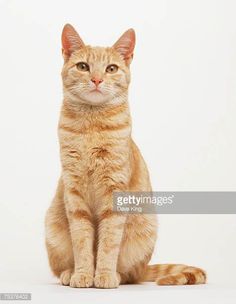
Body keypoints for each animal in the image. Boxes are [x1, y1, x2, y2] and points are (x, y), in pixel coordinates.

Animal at [44, 23, 206, 288]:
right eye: (83, 66)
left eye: (111, 69)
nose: (97, 79)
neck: (92, 126)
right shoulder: (74, 194)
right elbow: (82, 242)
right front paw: (83, 274)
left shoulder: (115, 192)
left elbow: (109, 242)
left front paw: (104, 275)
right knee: (61, 268)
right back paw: (69, 273)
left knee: (131, 275)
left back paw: (118, 275)